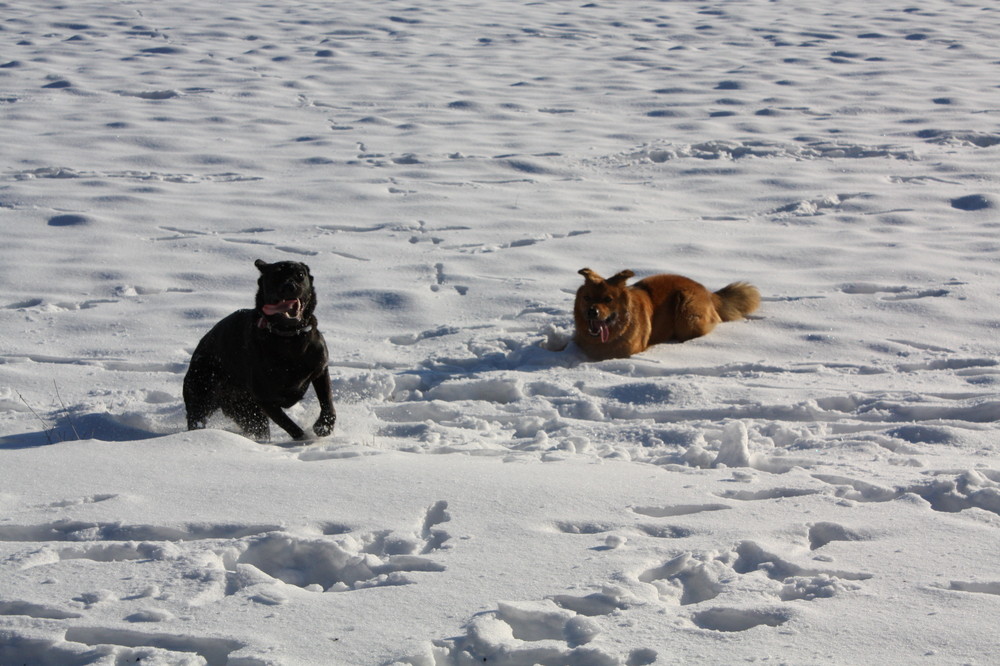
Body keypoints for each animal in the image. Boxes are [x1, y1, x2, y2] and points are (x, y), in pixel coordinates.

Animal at [187, 260, 340, 440]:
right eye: (275, 276)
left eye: (300, 275)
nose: (289, 286)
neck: (290, 337)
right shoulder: (264, 399)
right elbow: (289, 425)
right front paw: (304, 438)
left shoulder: (320, 368)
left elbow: (327, 401)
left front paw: (324, 426)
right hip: (202, 395)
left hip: (245, 412)